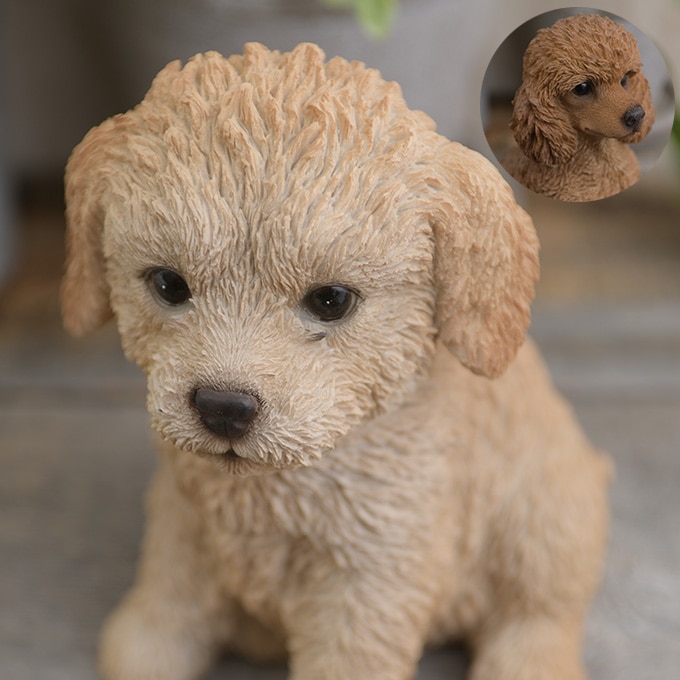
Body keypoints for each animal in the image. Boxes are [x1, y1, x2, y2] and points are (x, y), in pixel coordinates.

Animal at [62, 43, 612, 680]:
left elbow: (349, 654)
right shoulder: (181, 520)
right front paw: (143, 650)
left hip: (547, 517)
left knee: (540, 609)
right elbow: (170, 599)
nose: (223, 408)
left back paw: (529, 660)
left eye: (331, 300)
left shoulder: (373, 570)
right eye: (169, 285)